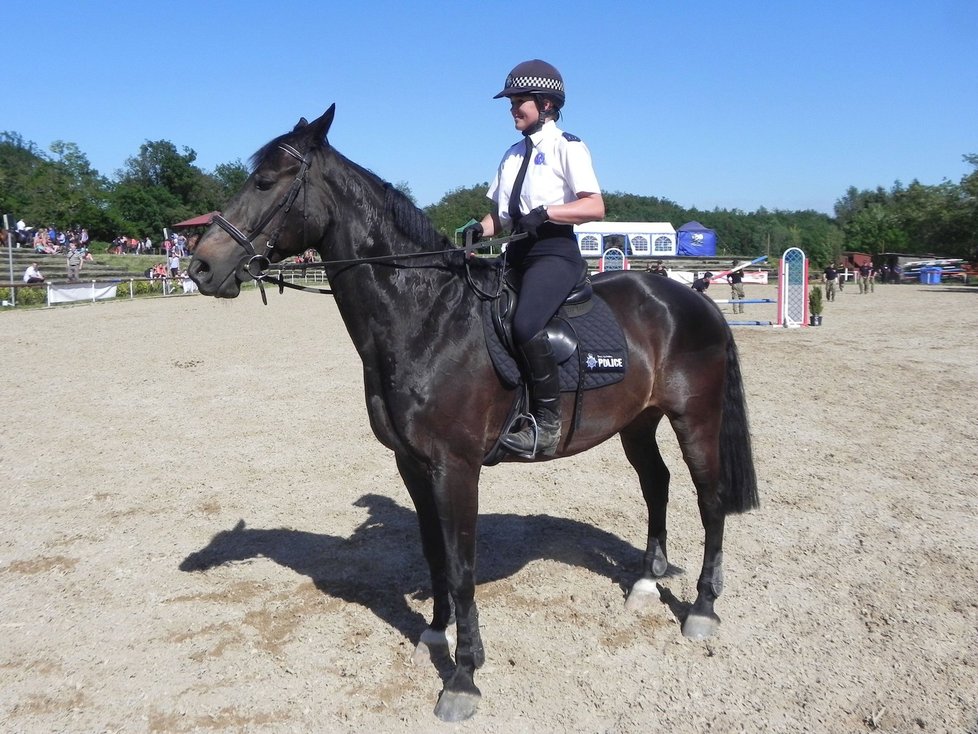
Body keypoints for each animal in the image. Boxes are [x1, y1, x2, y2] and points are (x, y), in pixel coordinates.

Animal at [189, 106, 756, 720]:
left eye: (266, 181)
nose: (200, 266)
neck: (426, 316)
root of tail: (691, 299)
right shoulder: (413, 465)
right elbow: (435, 554)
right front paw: (436, 632)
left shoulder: (455, 467)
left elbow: (462, 568)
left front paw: (463, 676)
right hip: (637, 422)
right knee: (657, 484)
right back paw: (647, 583)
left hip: (694, 418)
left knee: (710, 500)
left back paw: (702, 608)